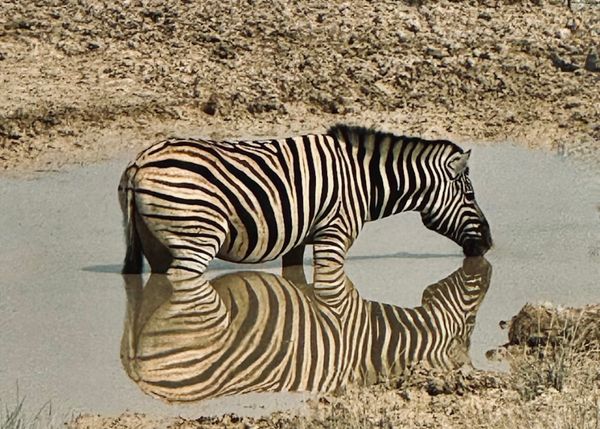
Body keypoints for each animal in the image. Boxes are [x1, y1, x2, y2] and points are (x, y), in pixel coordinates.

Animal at [118, 123, 492, 278]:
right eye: (470, 195)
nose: (488, 244)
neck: (363, 180)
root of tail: (140, 162)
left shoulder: (298, 237)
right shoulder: (334, 235)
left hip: (154, 243)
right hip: (196, 236)